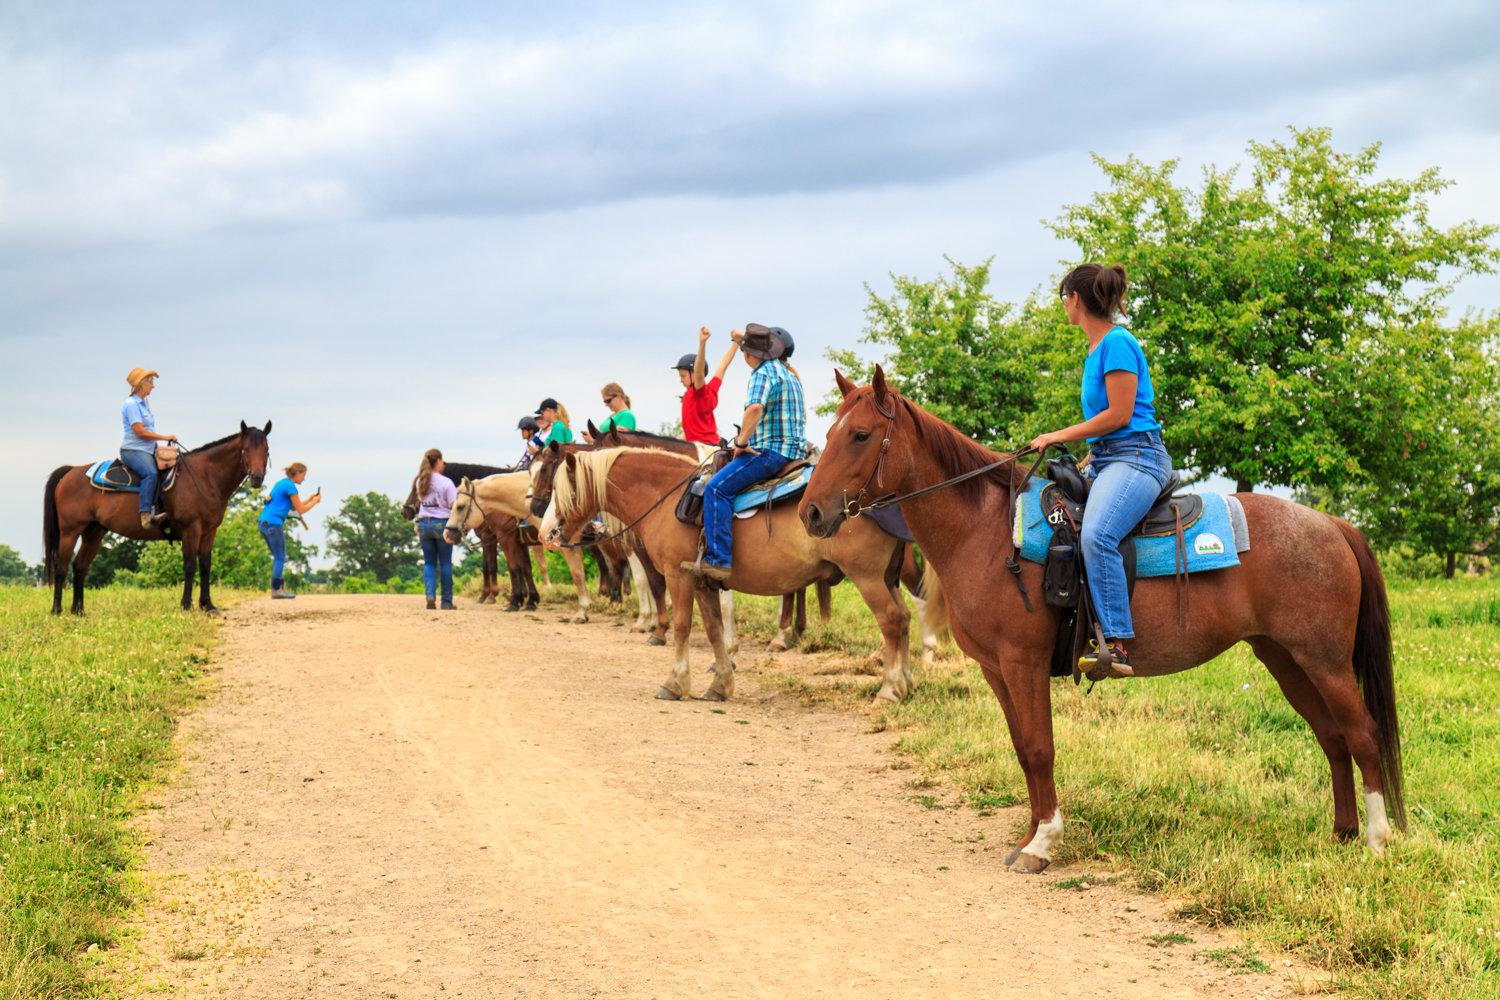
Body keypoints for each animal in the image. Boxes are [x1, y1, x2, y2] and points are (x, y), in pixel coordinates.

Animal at [43, 421, 273, 616]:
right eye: (245, 449)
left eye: (266, 450)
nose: (257, 478)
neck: (204, 476)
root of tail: (71, 471)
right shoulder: (191, 529)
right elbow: (190, 565)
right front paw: (186, 606)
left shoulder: (209, 531)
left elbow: (206, 565)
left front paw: (207, 605)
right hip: (70, 531)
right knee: (61, 567)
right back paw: (57, 610)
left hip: (94, 532)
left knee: (80, 567)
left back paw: (78, 611)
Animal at [547, 446, 935, 703]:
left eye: (558, 489)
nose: (546, 534)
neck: (665, 498)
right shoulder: (703, 581)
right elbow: (715, 631)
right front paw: (720, 684)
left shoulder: (678, 576)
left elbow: (683, 627)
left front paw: (675, 682)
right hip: (887, 576)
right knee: (903, 618)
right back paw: (907, 683)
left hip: (867, 577)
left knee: (891, 619)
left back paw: (890, 689)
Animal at [799, 368, 1404, 871]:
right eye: (830, 432)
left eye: (859, 435)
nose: (810, 513)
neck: (988, 532)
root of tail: (1331, 525)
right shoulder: (997, 669)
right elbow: (1023, 750)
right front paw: (1028, 835)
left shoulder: (1022, 663)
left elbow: (1040, 748)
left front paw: (1043, 844)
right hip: (1286, 660)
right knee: (1333, 737)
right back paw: (1341, 835)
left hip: (1324, 662)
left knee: (1363, 734)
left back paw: (1376, 842)